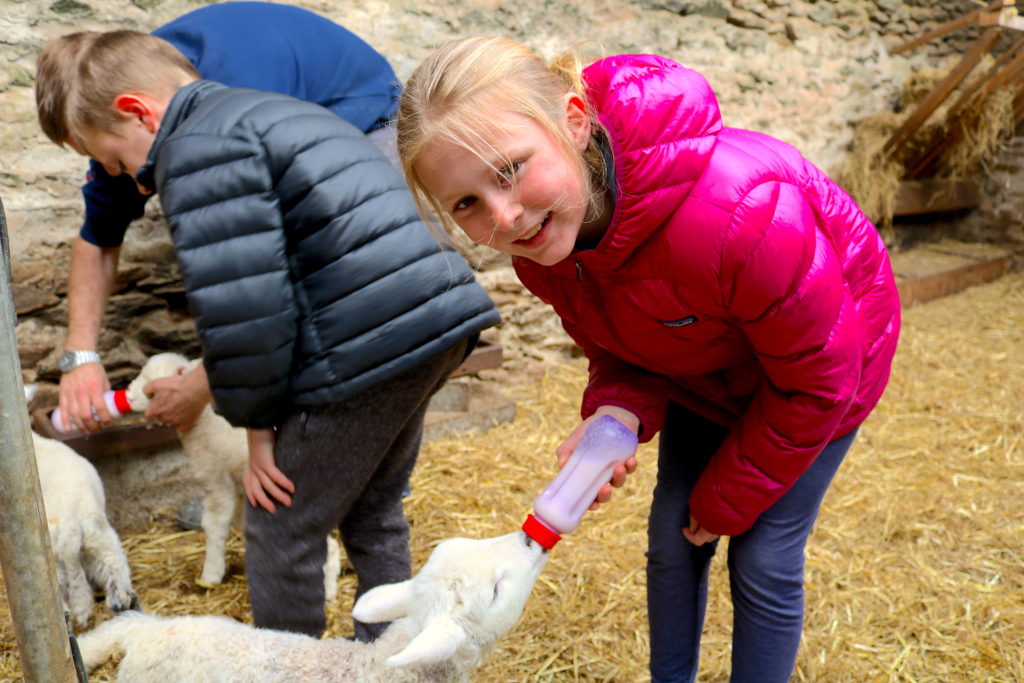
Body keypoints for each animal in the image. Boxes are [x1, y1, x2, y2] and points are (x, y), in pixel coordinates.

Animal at [123, 352, 339, 593]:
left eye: (152, 390)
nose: (128, 396)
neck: (204, 421)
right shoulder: (240, 490)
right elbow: (242, 523)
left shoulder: (216, 481)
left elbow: (214, 525)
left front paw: (210, 576)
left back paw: (328, 588)